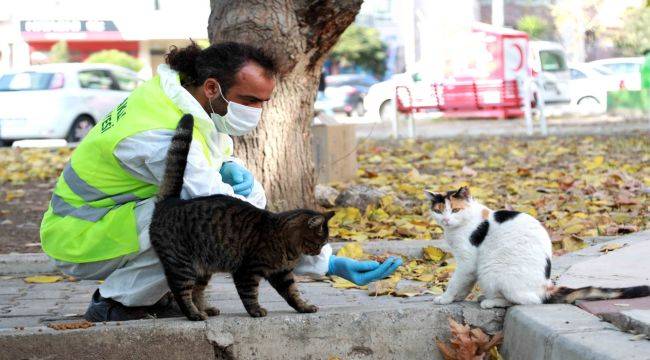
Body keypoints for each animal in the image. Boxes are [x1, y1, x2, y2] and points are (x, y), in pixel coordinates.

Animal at [149, 115, 332, 320]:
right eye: (320, 243)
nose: (318, 252)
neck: (287, 243)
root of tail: (170, 201)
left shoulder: (282, 274)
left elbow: (293, 293)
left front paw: (304, 306)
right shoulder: (247, 271)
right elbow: (250, 294)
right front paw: (256, 310)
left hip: (203, 269)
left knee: (197, 290)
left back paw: (205, 309)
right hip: (181, 265)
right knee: (181, 291)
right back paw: (194, 313)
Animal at [426, 187, 648, 308]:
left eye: (455, 210)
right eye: (438, 211)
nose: (445, 220)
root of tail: (545, 285)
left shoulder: (468, 262)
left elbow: (456, 281)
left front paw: (446, 298)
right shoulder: (468, 266)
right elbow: (464, 284)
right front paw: (458, 298)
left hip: (491, 270)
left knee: (530, 301)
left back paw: (491, 301)